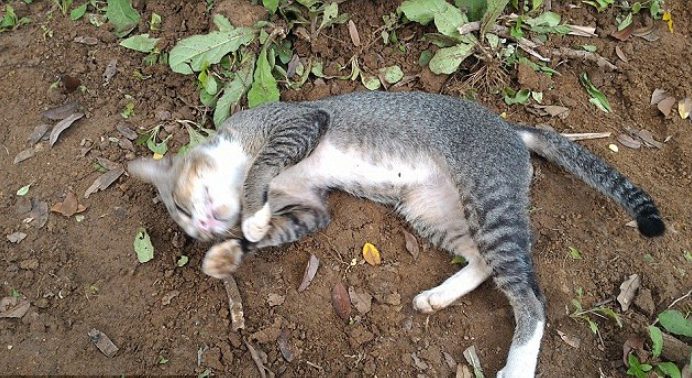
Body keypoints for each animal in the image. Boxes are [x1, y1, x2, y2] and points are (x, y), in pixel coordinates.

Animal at [127, 90, 664, 376]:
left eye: (181, 205)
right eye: (185, 221)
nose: (202, 226)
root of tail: (511, 129)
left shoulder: (300, 121)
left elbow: (262, 168)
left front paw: (249, 219)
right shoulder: (312, 208)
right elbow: (276, 228)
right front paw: (229, 252)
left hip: (489, 200)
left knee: (530, 296)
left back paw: (517, 365)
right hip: (431, 209)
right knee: (482, 261)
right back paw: (437, 297)